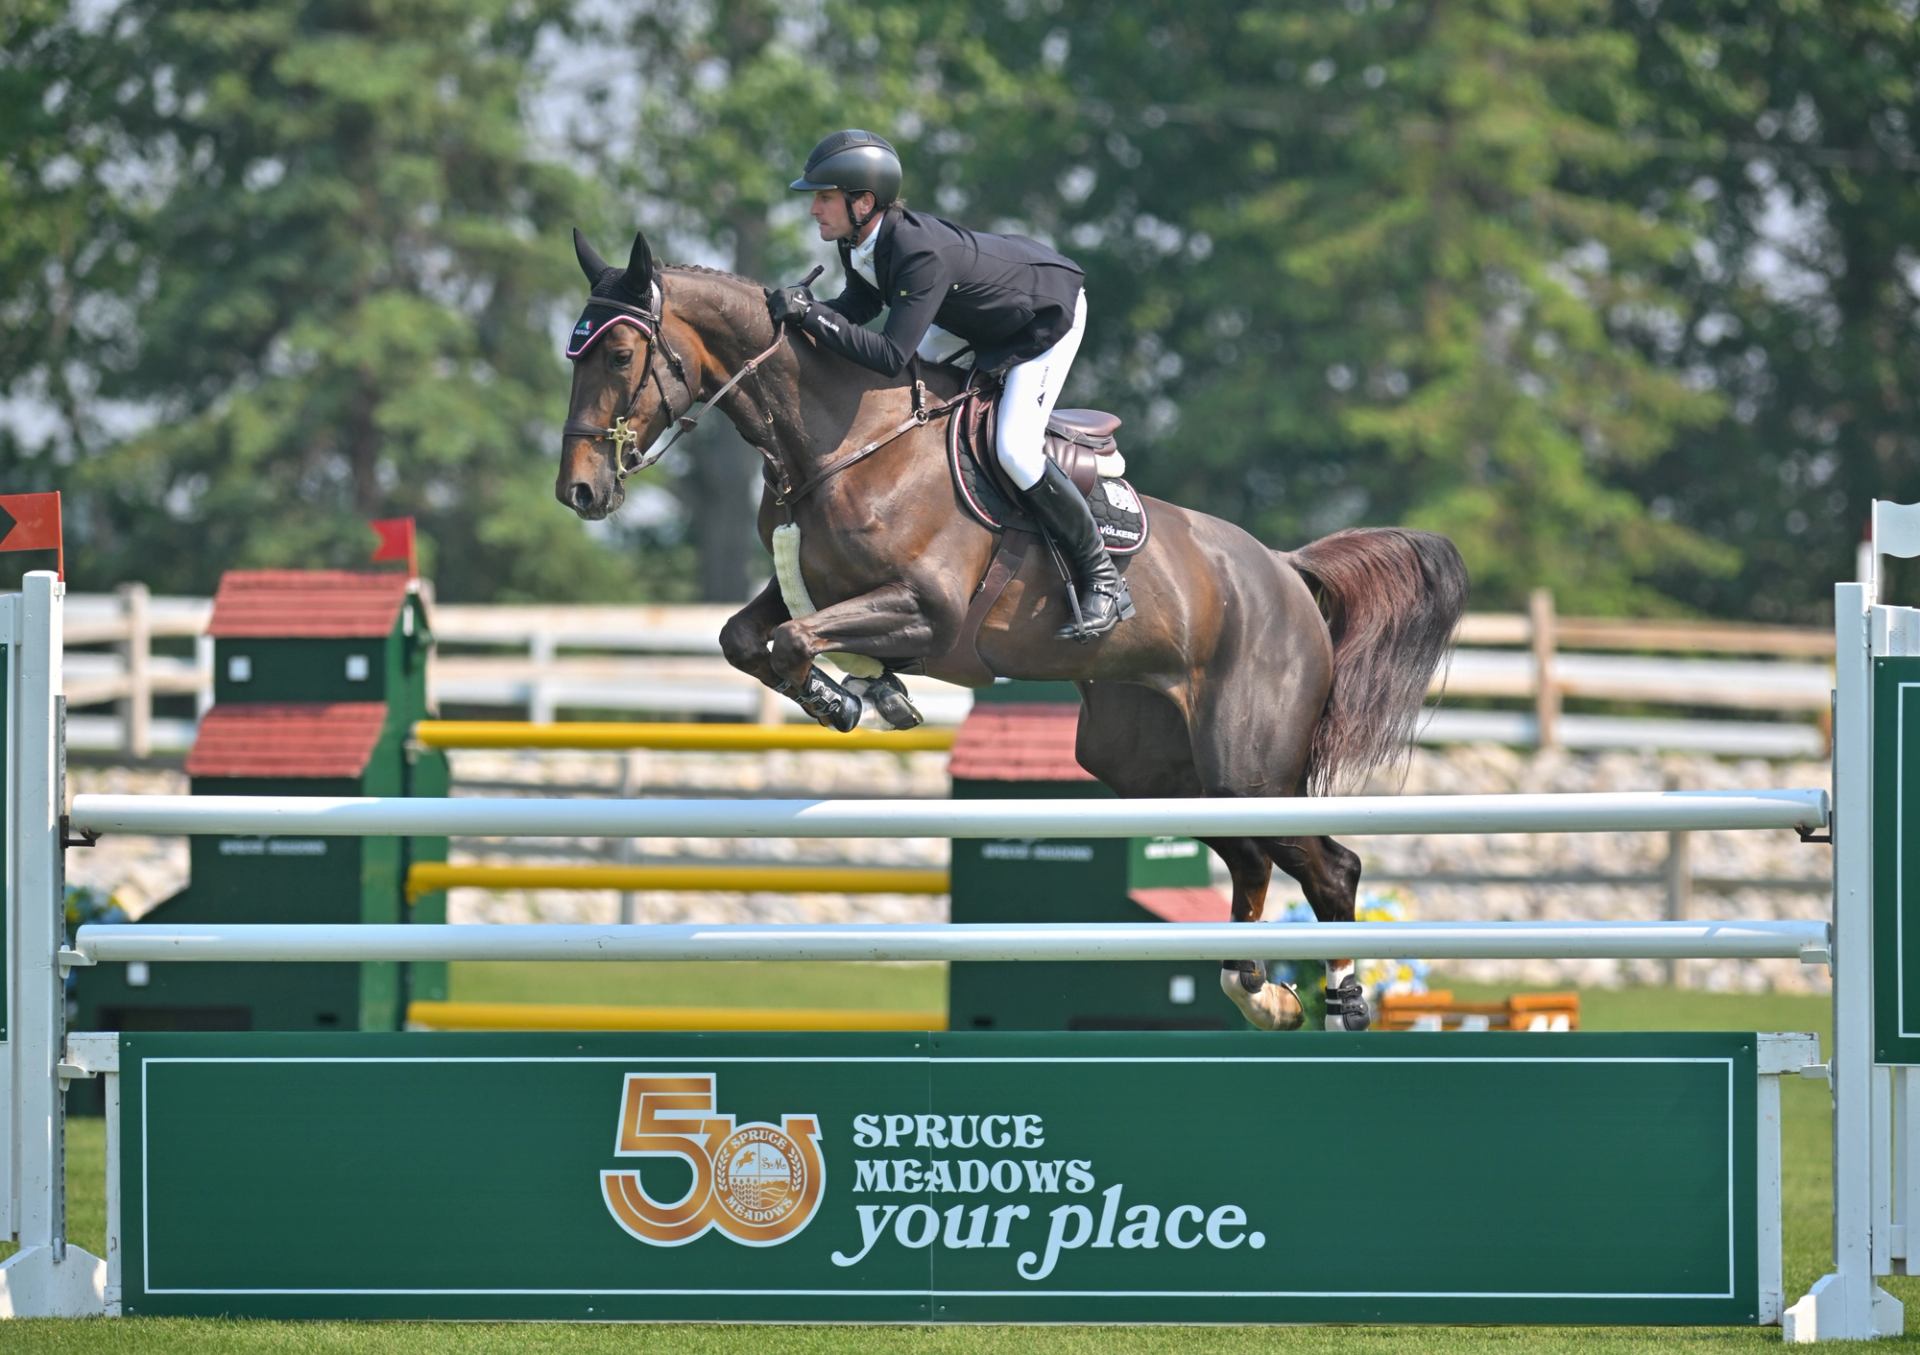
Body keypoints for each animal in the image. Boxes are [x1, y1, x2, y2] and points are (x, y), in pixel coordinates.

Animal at [558, 228, 1469, 1031]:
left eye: (618, 356)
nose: (580, 493)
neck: (846, 438)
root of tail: (1285, 567)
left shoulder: (928, 608)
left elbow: (794, 642)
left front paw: (857, 697)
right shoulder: (806, 590)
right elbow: (750, 639)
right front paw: (861, 694)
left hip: (1248, 763)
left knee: (1330, 865)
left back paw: (1341, 999)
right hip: (1153, 764)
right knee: (1251, 858)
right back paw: (1261, 993)